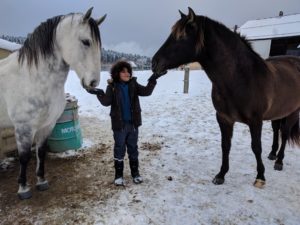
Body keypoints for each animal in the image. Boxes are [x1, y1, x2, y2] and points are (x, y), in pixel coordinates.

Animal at [0, 7, 106, 200]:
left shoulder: (47, 125)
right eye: (86, 41)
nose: (93, 82)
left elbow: (40, 152)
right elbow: (24, 157)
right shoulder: (24, 128)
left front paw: (41, 181)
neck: (32, 78)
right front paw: (23, 188)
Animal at [152, 7, 300, 187]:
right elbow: (225, 145)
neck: (241, 78)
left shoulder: (255, 121)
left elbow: (256, 147)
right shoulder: (224, 118)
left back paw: (279, 161)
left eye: (181, 36)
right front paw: (221, 174)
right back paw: (272, 154)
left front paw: (260, 176)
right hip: (278, 112)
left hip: (293, 112)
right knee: (276, 129)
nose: (154, 63)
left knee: (284, 133)